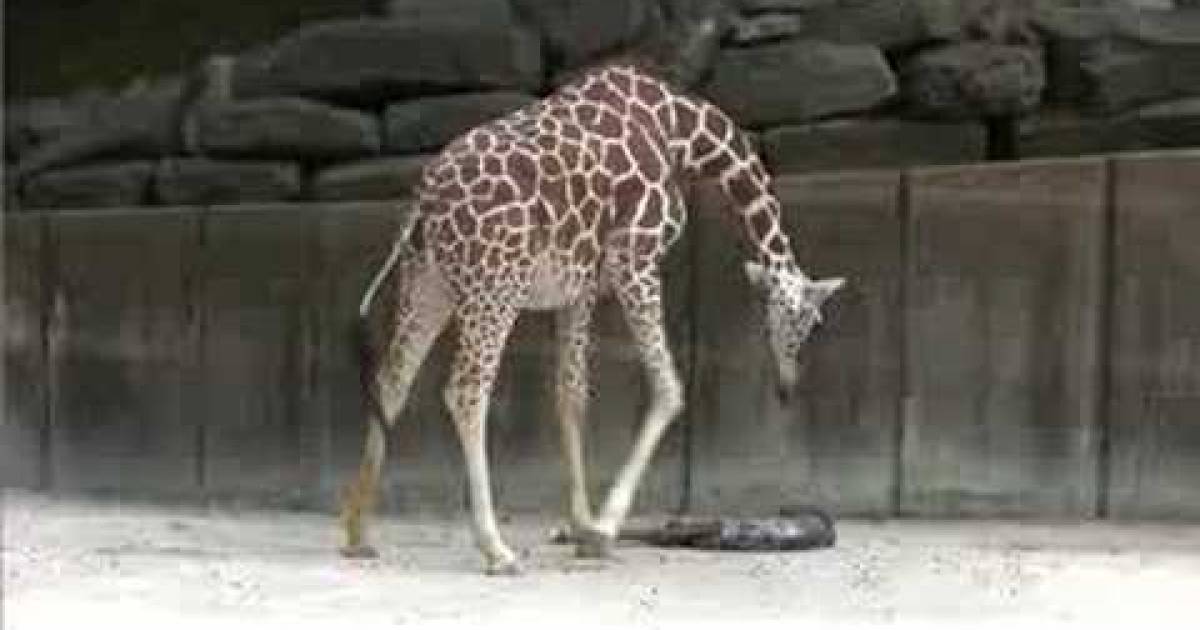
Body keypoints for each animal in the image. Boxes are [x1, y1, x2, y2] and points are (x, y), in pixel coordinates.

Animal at [338, 60, 845, 575]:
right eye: (809, 323)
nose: (787, 388)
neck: (681, 131)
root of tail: (424, 199)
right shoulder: (635, 256)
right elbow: (669, 389)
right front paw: (604, 527)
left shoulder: (578, 287)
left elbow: (571, 393)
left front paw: (581, 527)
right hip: (494, 286)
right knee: (466, 391)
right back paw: (496, 549)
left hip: (428, 282)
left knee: (391, 379)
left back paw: (359, 534)